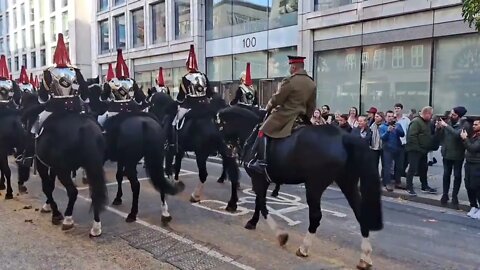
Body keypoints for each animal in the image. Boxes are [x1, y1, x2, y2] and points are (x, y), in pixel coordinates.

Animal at [87, 84, 185, 224]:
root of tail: (146, 124)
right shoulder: (122, 159)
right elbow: (119, 176)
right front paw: (118, 197)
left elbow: (119, 176)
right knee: (159, 180)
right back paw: (165, 212)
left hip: (131, 162)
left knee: (136, 185)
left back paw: (132, 213)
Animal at [219, 106, 384, 268]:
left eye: (219, 125)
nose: (228, 151)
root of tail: (344, 138)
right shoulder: (261, 180)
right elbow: (259, 203)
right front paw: (253, 222)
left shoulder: (258, 179)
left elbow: (262, 205)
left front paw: (280, 235)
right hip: (347, 182)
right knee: (360, 213)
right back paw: (365, 257)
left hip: (314, 185)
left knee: (316, 216)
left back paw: (304, 248)